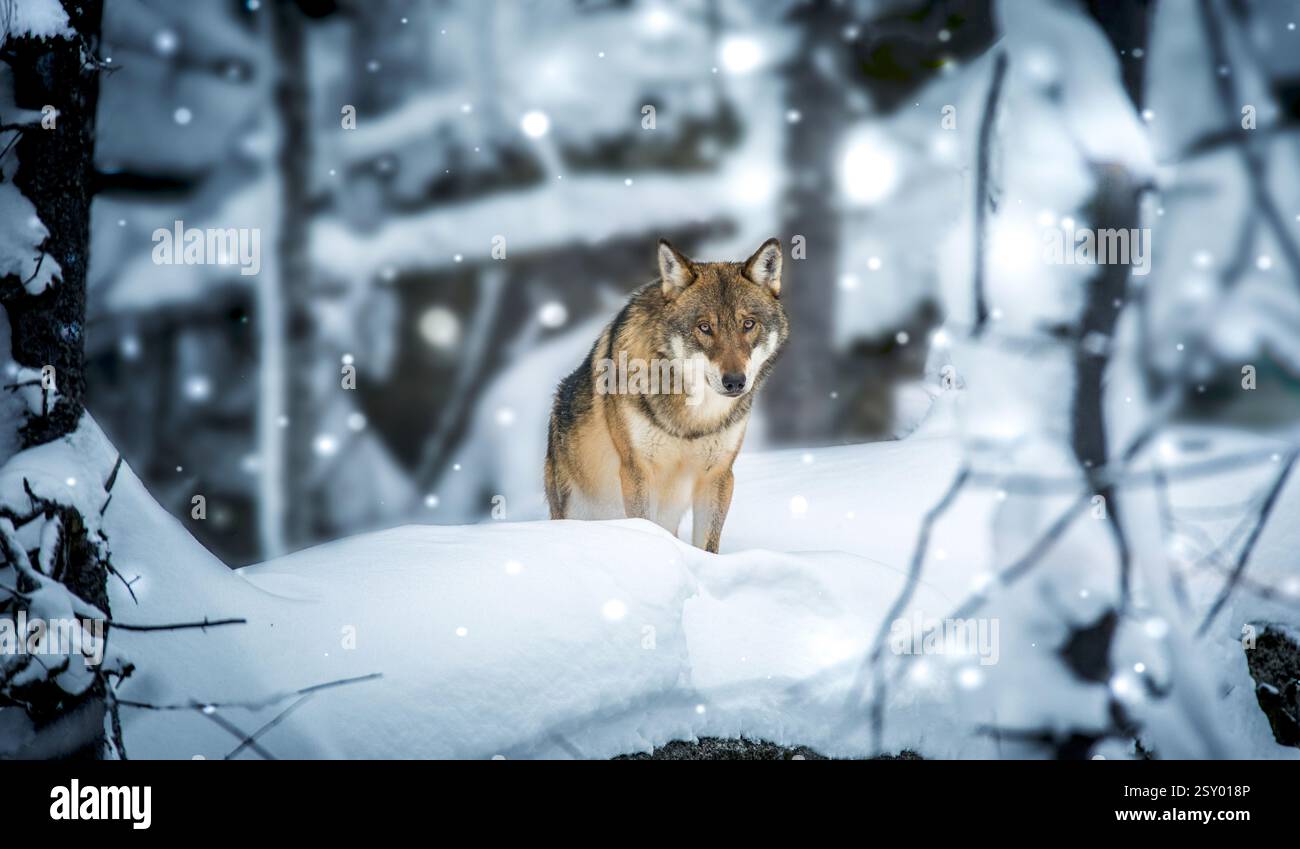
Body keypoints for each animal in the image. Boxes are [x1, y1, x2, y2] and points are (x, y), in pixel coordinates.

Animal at [545, 237, 789, 552]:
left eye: (748, 324)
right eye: (704, 327)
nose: (735, 382)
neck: (693, 419)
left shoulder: (719, 475)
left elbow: (708, 545)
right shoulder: (636, 470)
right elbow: (643, 524)